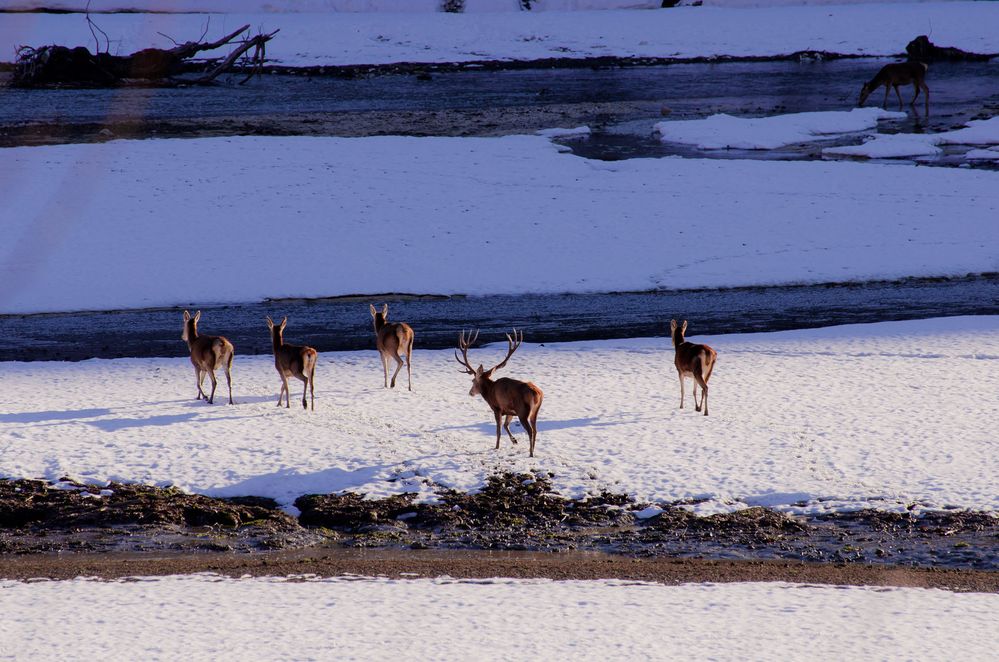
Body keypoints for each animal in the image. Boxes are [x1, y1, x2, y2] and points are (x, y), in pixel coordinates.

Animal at [456, 330, 544, 460]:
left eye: (473, 381)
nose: (470, 392)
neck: (489, 392)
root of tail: (537, 393)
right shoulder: (509, 411)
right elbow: (506, 425)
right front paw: (514, 440)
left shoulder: (497, 408)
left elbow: (498, 430)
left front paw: (496, 447)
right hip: (535, 411)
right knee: (536, 429)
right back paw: (533, 449)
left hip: (523, 411)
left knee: (530, 430)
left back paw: (531, 453)